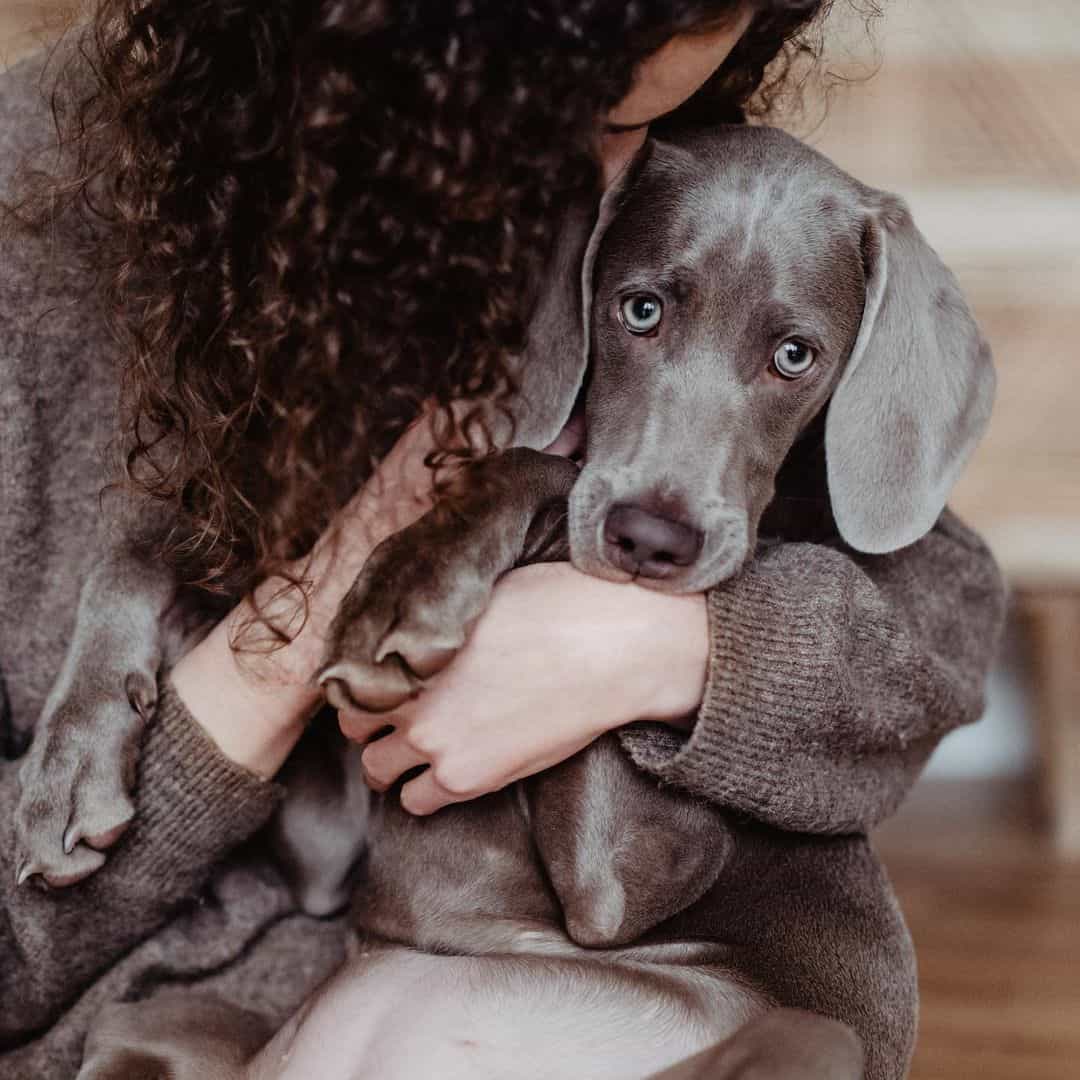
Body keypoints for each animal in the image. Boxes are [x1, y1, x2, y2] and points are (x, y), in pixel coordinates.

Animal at [16, 128, 993, 1080]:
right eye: (641, 309)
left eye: (796, 357)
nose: (652, 541)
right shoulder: (329, 847)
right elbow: (147, 560)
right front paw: (69, 767)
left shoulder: (628, 879)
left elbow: (535, 466)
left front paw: (407, 590)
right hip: (155, 1024)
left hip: (816, 1037)